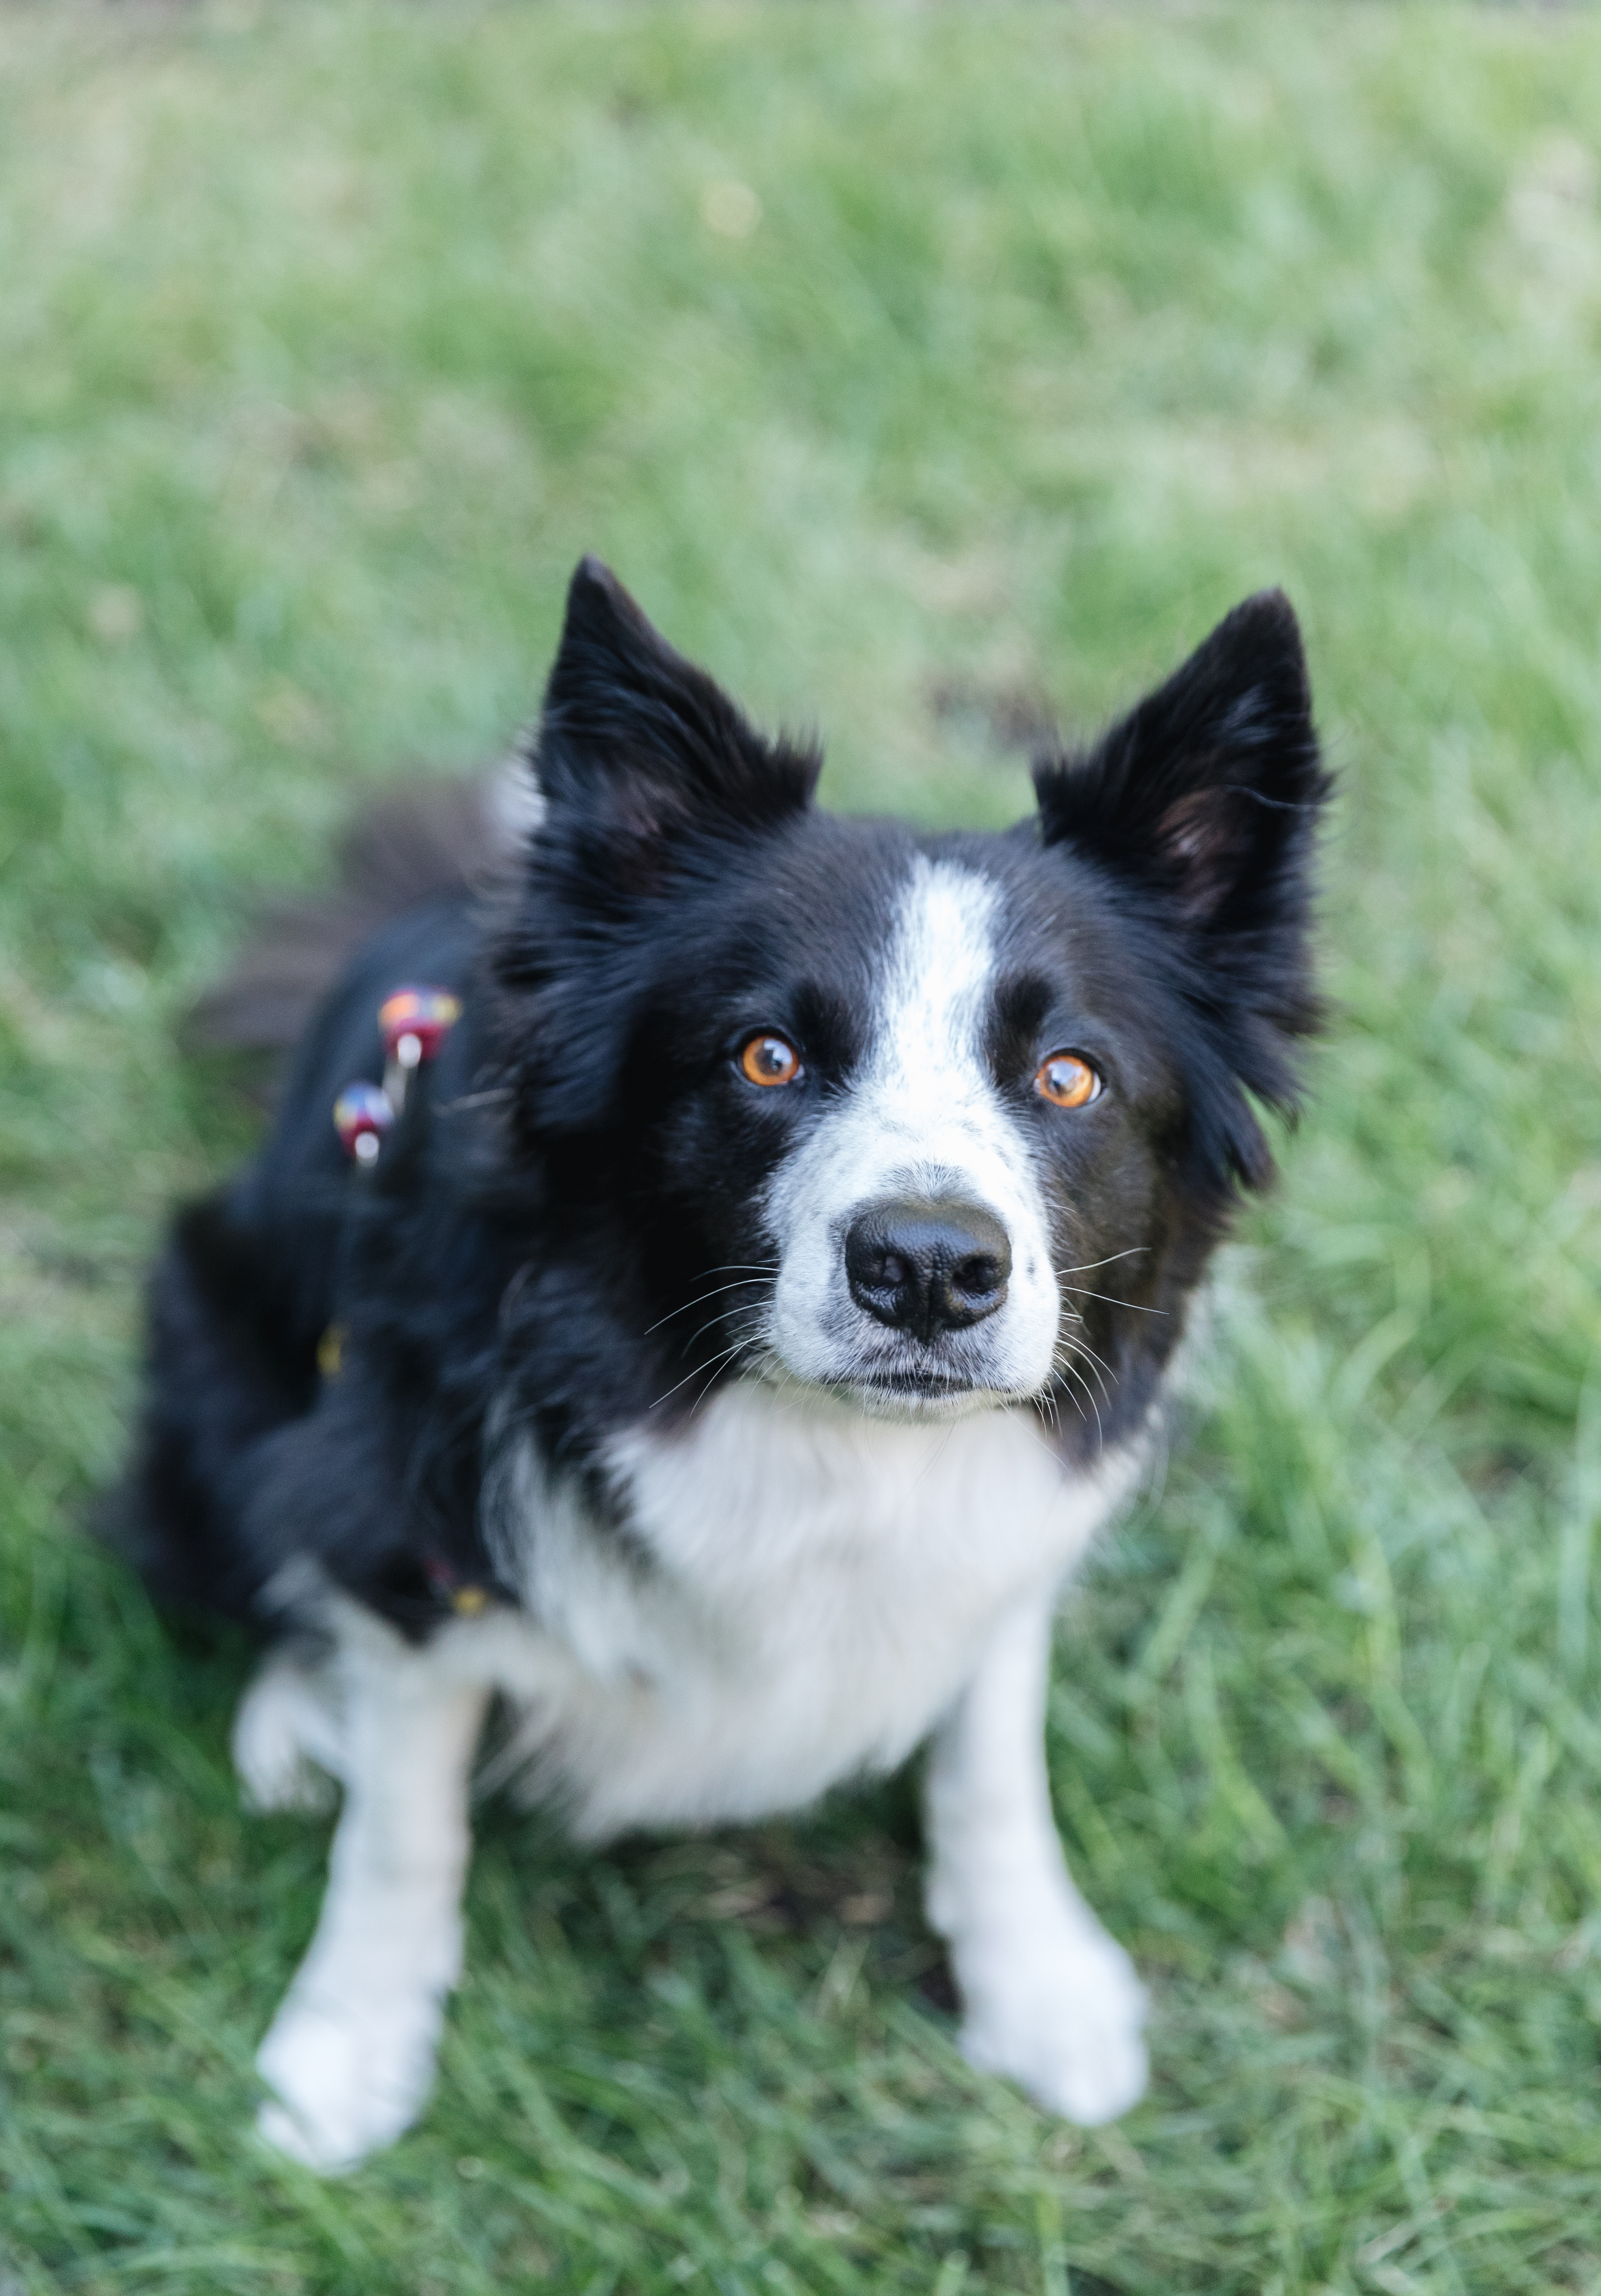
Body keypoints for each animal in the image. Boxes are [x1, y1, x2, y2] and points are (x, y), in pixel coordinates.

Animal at [122, 560, 1323, 2167]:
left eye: (1067, 1075)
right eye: (765, 1056)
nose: (927, 1269)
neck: (823, 1443)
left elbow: (989, 1755)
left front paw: (1038, 1986)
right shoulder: (422, 1511)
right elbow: (404, 1824)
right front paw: (348, 2050)